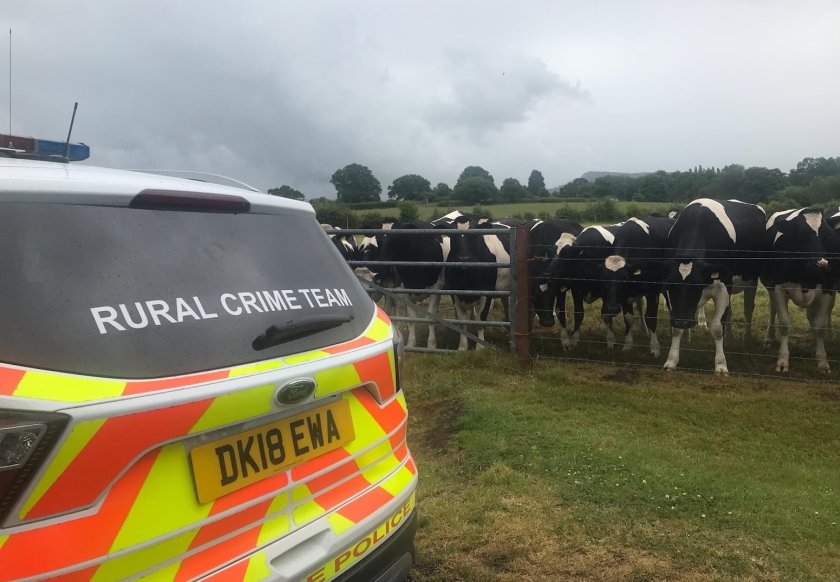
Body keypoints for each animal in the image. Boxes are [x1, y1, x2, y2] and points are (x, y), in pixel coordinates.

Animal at [446, 216, 512, 350]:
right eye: (452, 235)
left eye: (474, 235)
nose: (463, 259)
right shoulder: (454, 293)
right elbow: (462, 321)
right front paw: (462, 347)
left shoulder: (487, 292)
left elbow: (481, 319)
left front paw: (480, 346)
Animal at [544, 224, 624, 352]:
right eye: (553, 253)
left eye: (566, 255)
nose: (547, 274)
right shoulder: (577, 291)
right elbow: (579, 313)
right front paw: (574, 340)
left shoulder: (607, 291)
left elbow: (606, 315)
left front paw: (611, 341)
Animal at [600, 217, 672, 358]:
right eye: (604, 281)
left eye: (624, 280)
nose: (612, 308)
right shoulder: (625, 295)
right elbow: (628, 317)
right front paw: (627, 345)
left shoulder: (652, 291)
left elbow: (651, 317)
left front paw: (655, 348)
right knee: (640, 306)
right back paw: (644, 331)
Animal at [664, 198, 768, 376]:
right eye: (671, 286)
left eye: (696, 286)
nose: (683, 322)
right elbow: (676, 328)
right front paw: (671, 361)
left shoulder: (723, 285)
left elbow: (718, 328)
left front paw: (720, 365)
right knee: (730, 312)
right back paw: (730, 339)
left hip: (751, 279)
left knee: (748, 309)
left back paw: (746, 340)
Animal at [764, 210, 836, 374]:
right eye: (801, 235)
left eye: (829, 235)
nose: (822, 264)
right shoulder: (778, 288)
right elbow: (785, 324)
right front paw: (782, 361)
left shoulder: (827, 290)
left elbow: (819, 326)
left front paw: (822, 361)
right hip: (770, 286)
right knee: (772, 310)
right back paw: (769, 337)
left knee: (812, 316)